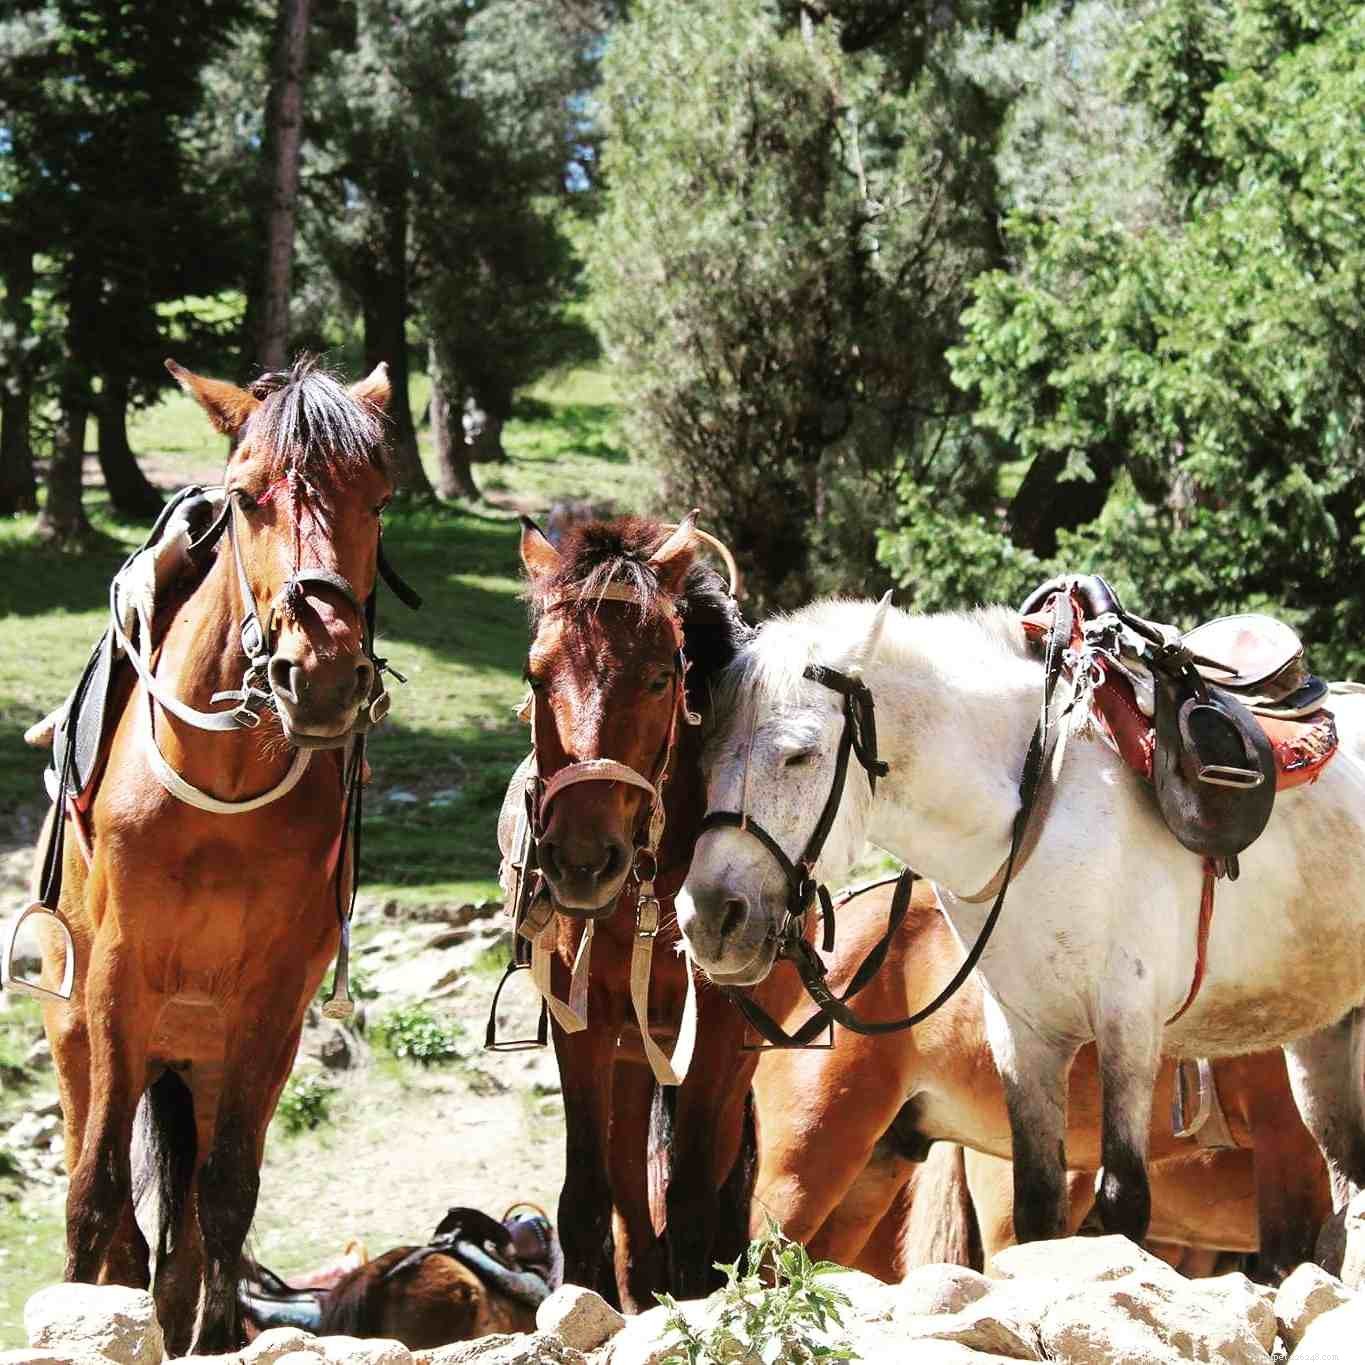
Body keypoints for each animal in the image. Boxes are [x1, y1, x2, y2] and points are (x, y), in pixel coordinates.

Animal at [22, 357, 399, 1353]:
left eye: (379, 496)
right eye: (245, 496)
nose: (323, 674)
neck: (222, 787)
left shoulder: (270, 1004)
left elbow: (226, 1192)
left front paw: (221, 1334)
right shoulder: (117, 984)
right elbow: (96, 1191)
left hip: (209, 1061)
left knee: (186, 1225)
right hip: (82, 1037)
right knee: (114, 1204)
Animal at [500, 513, 774, 1311]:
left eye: (658, 677)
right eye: (537, 676)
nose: (581, 859)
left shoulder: (719, 1035)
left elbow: (690, 1197)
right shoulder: (582, 1025)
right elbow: (587, 1198)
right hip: (630, 1058)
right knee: (628, 1202)